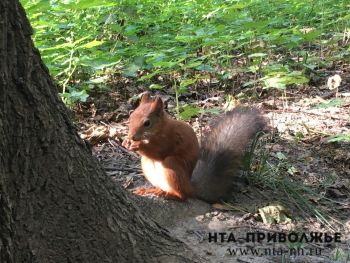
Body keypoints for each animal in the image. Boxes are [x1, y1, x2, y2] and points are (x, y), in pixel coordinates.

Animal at [121, 94, 266, 203]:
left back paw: (170, 195)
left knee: (183, 196)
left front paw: (137, 145)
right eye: (131, 116)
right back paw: (152, 190)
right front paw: (125, 141)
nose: (131, 136)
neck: (161, 128)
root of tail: (190, 187)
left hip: (173, 166)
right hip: (148, 166)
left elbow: (159, 151)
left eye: (147, 123)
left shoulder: (170, 139)